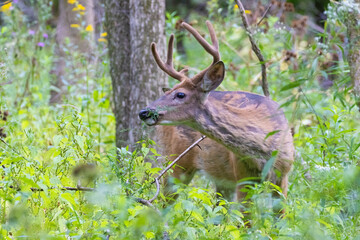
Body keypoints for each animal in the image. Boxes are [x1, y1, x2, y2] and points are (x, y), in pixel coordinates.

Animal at [139, 21, 294, 203]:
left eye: (180, 94)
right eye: (167, 92)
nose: (144, 112)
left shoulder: (283, 176)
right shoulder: (243, 177)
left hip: (221, 180)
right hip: (176, 161)